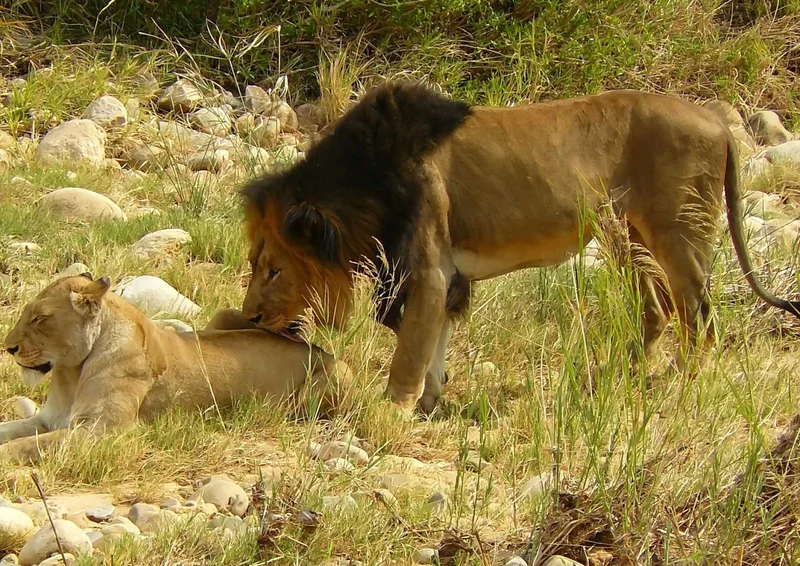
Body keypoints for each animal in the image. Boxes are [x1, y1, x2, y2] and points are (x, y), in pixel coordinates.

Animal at [1, 274, 351, 462]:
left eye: (39, 317)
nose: (8, 347)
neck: (70, 373)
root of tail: (314, 347)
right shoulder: (49, 420)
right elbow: (14, 433)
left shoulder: (104, 430)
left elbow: (27, 445)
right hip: (224, 314)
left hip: (339, 371)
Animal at [239, 81, 800, 414]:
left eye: (273, 270)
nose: (248, 318)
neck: (365, 186)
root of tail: (719, 123)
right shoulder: (448, 277)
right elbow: (434, 342)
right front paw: (431, 401)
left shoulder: (427, 269)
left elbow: (410, 350)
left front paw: (390, 411)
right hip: (625, 233)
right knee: (658, 310)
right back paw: (612, 380)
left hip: (677, 234)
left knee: (698, 314)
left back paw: (679, 385)